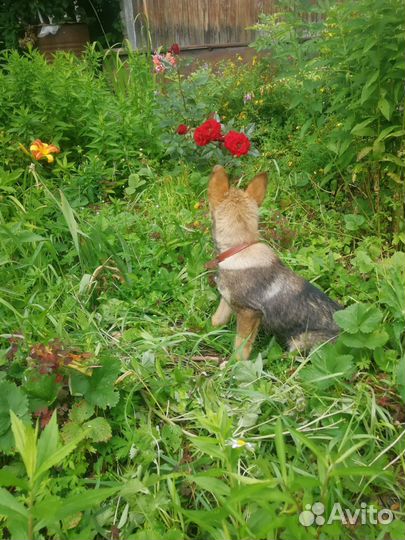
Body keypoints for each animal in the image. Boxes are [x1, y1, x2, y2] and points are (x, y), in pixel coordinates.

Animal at [207, 165, 342, 358]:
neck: (241, 249)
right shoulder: (227, 300)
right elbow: (217, 320)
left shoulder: (249, 313)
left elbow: (241, 346)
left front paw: (233, 364)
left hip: (301, 341)